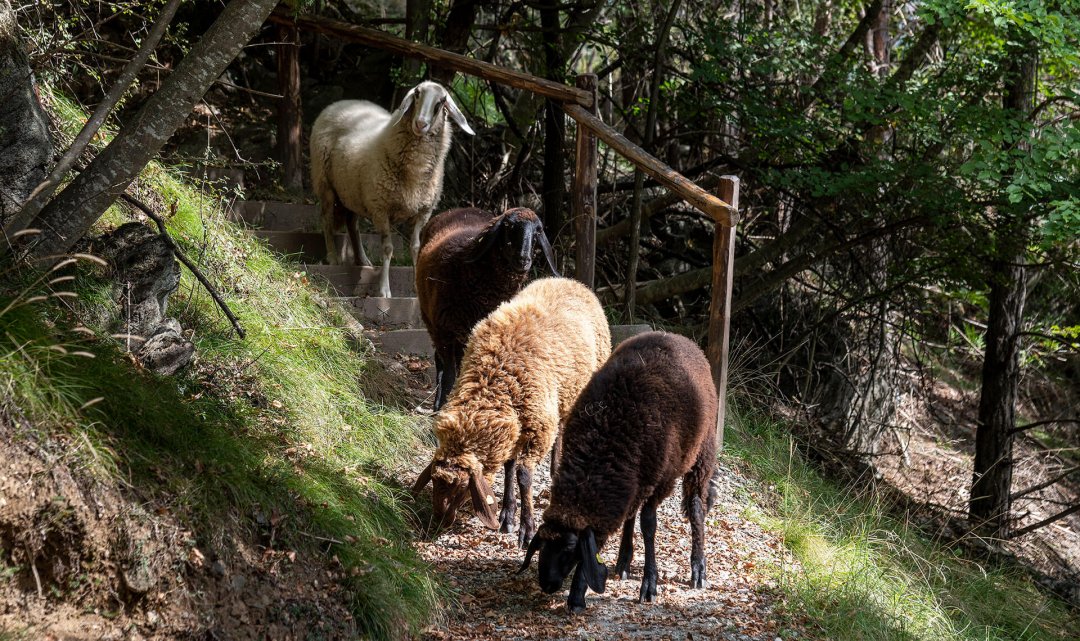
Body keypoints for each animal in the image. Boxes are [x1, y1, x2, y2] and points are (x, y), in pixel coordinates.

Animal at [306, 79, 470, 297]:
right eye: (417, 94)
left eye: (441, 101)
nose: (421, 124)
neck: (414, 174)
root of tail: (342, 102)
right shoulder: (381, 209)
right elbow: (388, 249)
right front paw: (384, 290)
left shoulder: (423, 212)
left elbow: (415, 247)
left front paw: (416, 288)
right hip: (325, 182)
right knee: (326, 219)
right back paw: (333, 256)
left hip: (353, 191)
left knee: (352, 224)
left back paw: (362, 260)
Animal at [414, 205, 557, 405]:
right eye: (508, 226)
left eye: (538, 231)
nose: (523, 259)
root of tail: (459, 209)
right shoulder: (445, 331)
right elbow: (449, 375)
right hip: (433, 323)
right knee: (441, 363)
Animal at [520, 332, 717, 612]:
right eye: (544, 543)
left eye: (569, 549)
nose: (547, 584)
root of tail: (676, 336)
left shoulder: (660, 479)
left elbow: (649, 525)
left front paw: (648, 584)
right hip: (640, 478)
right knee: (631, 513)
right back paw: (624, 560)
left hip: (701, 453)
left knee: (696, 505)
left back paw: (698, 567)